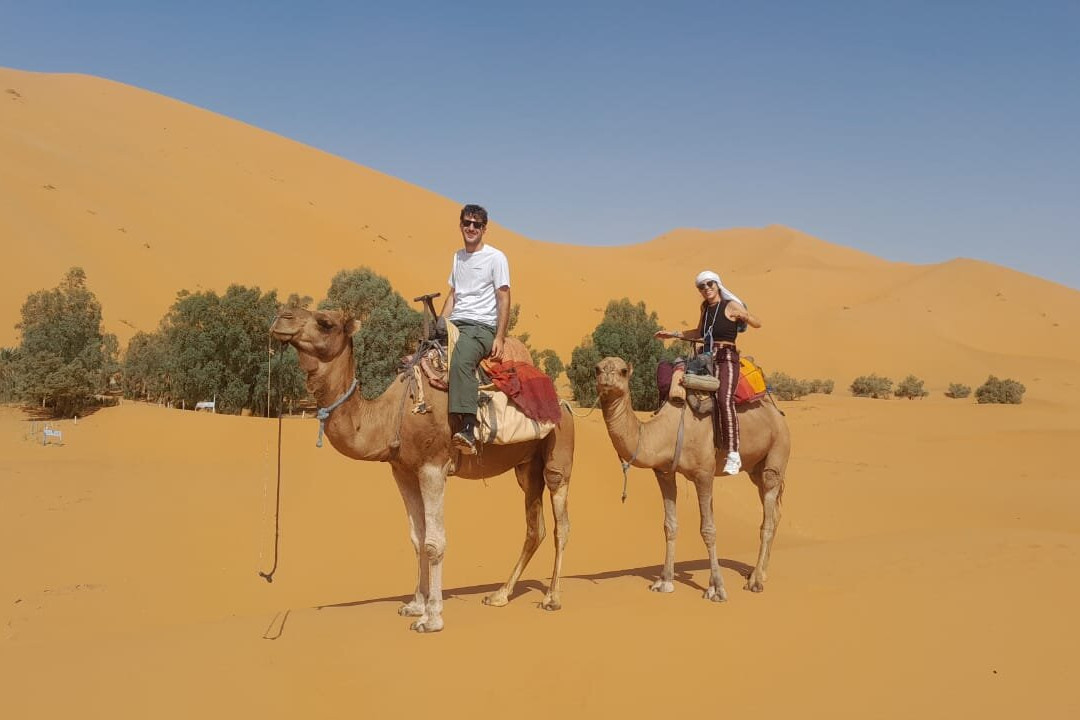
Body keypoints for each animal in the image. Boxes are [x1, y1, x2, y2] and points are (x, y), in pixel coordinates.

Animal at [271, 307, 574, 633]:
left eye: (325, 323)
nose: (281, 317)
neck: (391, 415)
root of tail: (565, 404)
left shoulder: (433, 467)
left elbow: (433, 542)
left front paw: (432, 617)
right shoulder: (403, 471)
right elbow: (417, 538)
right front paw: (415, 604)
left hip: (558, 458)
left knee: (561, 524)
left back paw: (552, 598)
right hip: (526, 467)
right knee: (534, 527)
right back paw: (500, 595)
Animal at [595, 356, 789, 599]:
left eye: (622, 371)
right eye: (597, 368)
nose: (605, 377)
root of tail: (777, 413)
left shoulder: (704, 474)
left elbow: (708, 529)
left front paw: (717, 588)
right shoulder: (664, 473)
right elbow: (670, 525)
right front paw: (665, 581)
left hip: (777, 449)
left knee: (769, 515)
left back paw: (755, 581)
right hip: (755, 468)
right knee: (775, 512)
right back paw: (760, 573)